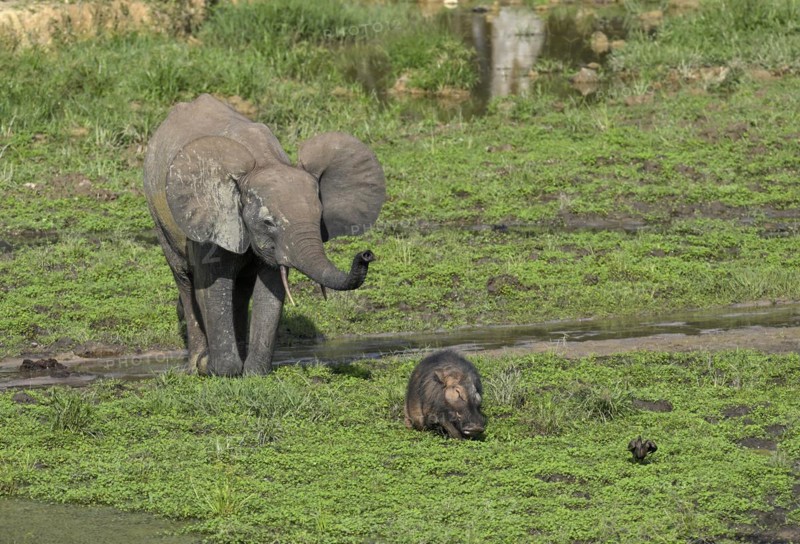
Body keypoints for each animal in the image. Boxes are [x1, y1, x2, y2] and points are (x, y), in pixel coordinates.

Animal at [143, 94, 386, 376]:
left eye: (319, 218)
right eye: (268, 222)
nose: (366, 255)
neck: (263, 162)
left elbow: (270, 288)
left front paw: (254, 374)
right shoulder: (212, 219)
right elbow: (213, 284)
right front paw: (214, 368)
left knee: (241, 288)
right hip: (160, 214)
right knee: (184, 278)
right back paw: (196, 365)